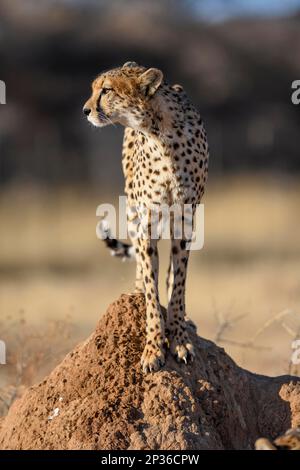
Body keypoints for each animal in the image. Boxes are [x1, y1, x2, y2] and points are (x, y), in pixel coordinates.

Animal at [82, 60, 209, 372]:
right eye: (93, 88)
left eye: (106, 90)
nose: (86, 110)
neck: (160, 132)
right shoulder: (146, 224)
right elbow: (152, 290)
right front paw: (153, 347)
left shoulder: (184, 223)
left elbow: (177, 284)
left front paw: (179, 338)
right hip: (132, 210)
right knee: (142, 268)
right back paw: (137, 293)